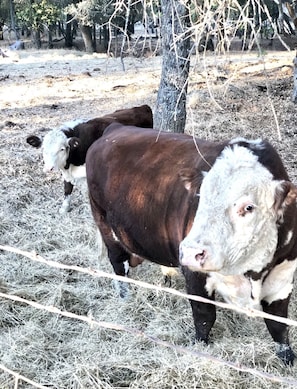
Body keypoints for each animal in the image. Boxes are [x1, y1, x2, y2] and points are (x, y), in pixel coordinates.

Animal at [85, 123, 296, 364]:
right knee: (119, 265)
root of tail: (115, 128)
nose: (190, 251)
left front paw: (287, 357)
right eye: (200, 197)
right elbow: (204, 315)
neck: (250, 271)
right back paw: (125, 297)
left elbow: (279, 324)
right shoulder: (195, 275)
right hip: (106, 225)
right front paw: (200, 347)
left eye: (249, 207)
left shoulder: (283, 276)